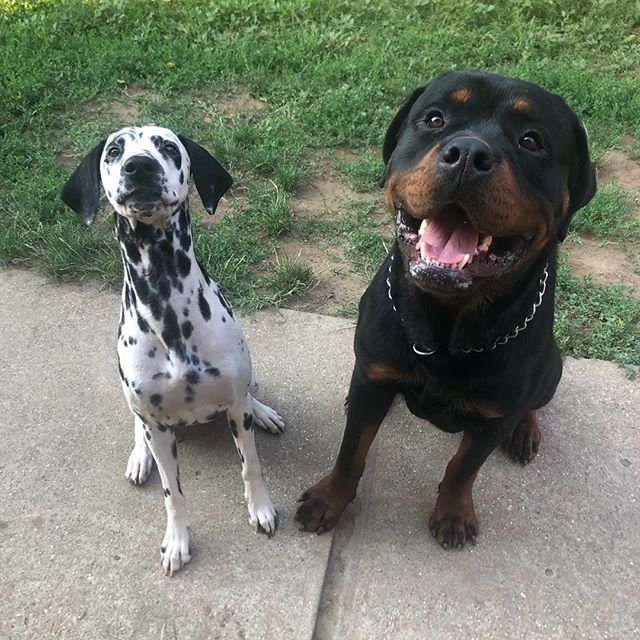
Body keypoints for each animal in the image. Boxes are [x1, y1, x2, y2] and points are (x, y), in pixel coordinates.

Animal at [61, 125, 284, 576]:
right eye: (114, 150)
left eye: (167, 146)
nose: (139, 166)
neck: (164, 294)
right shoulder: (158, 426)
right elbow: (173, 494)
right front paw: (177, 541)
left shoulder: (235, 407)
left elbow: (251, 467)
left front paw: (261, 510)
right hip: (140, 410)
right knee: (137, 426)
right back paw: (138, 458)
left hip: (246, 384)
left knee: (252, 394)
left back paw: (265, 413)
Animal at [298, 72, 596, 548]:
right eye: (435, 119)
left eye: (532, 141)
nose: (469, 155)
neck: (445, 326)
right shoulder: (374, 375)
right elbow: (351, 450)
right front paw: (330, 498)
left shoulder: (494, 416)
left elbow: (463, 468)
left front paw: (453, 513)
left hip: (552, 368)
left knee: (534, 401)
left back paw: (526, 430)